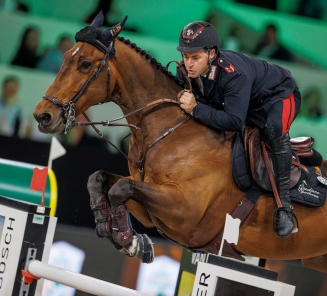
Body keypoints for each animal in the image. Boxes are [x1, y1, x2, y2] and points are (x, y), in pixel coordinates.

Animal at [32, 12, 327, 272]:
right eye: (65, 58)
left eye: (84, 64)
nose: (43, 116)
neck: (167, 130)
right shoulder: (148, 204)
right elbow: (100, 179)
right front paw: (121, 233)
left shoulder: (186, 214)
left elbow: (120, 189)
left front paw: (129, 240)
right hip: (316, 260)